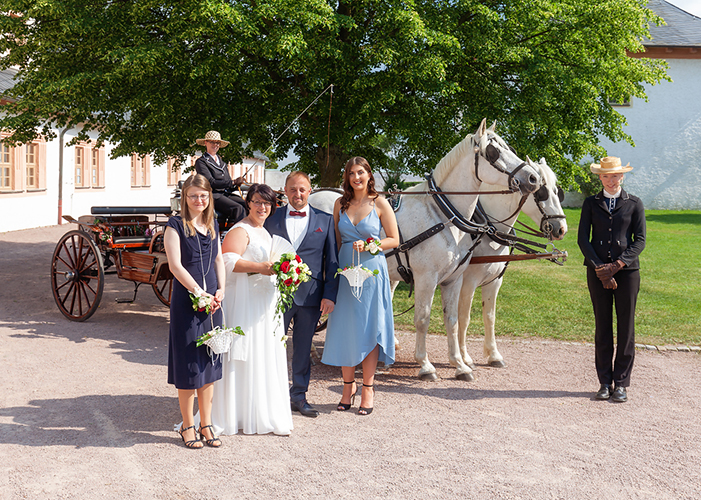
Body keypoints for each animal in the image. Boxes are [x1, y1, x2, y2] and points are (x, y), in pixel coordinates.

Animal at [308, 119, 540, 380]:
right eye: (493, 152)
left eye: (509, 147)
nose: (533, 178)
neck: (443, 214)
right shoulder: (426, 278)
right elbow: (422, 319)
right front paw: (425, 365)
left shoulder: (454, 279)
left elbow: (452, 320)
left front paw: (459, 365)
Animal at [456, 156, 568, 376]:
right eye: (541, 192)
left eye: (557, 191)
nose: (561, 229)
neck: (487, 229)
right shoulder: (467, 283)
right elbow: (464, 318)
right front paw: (465, 358)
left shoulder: (494, 282)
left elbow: (489, 317)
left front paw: (493, 355)